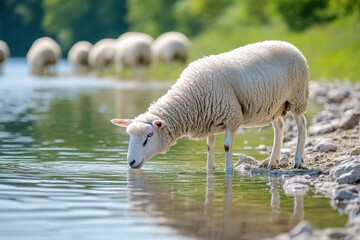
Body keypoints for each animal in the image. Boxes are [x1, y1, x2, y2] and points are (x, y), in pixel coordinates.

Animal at [110, 40, 310, 172]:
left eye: (149, 135)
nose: (131, 162)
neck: (190, 96)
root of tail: (289, 44)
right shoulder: (211, 119)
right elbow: (210, 146)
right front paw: (210, 169)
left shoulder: (232, 116)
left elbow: (227, 146)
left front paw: (229, 170)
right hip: (274, 105)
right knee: (280, 126)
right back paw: (272, 161)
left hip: (297, 97)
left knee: (301, 125)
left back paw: (298, 161)